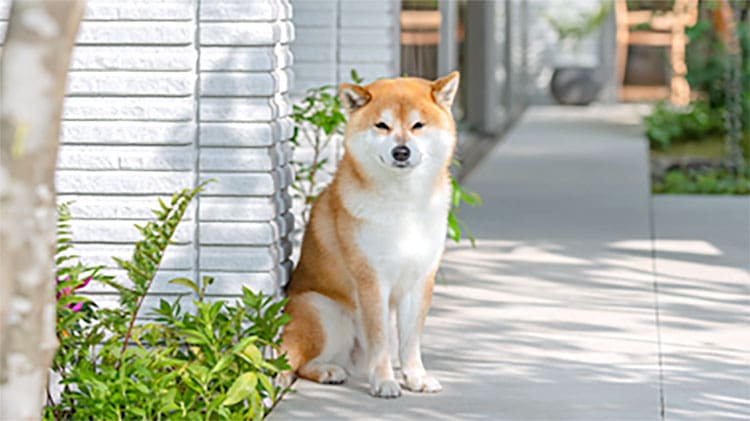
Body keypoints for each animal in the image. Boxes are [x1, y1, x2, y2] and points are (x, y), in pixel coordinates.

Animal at [280, 72, 458, 398]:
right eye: (382, 125)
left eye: (418, 125)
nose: (401, 151)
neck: (404, 205)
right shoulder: (372, 280)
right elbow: (381, 338)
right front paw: (386, 380)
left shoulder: (420, 279)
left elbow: (410, 340)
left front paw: (415, 377)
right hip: (321, 309)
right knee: (289, 360)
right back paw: (322, 371)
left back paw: (330, 370)